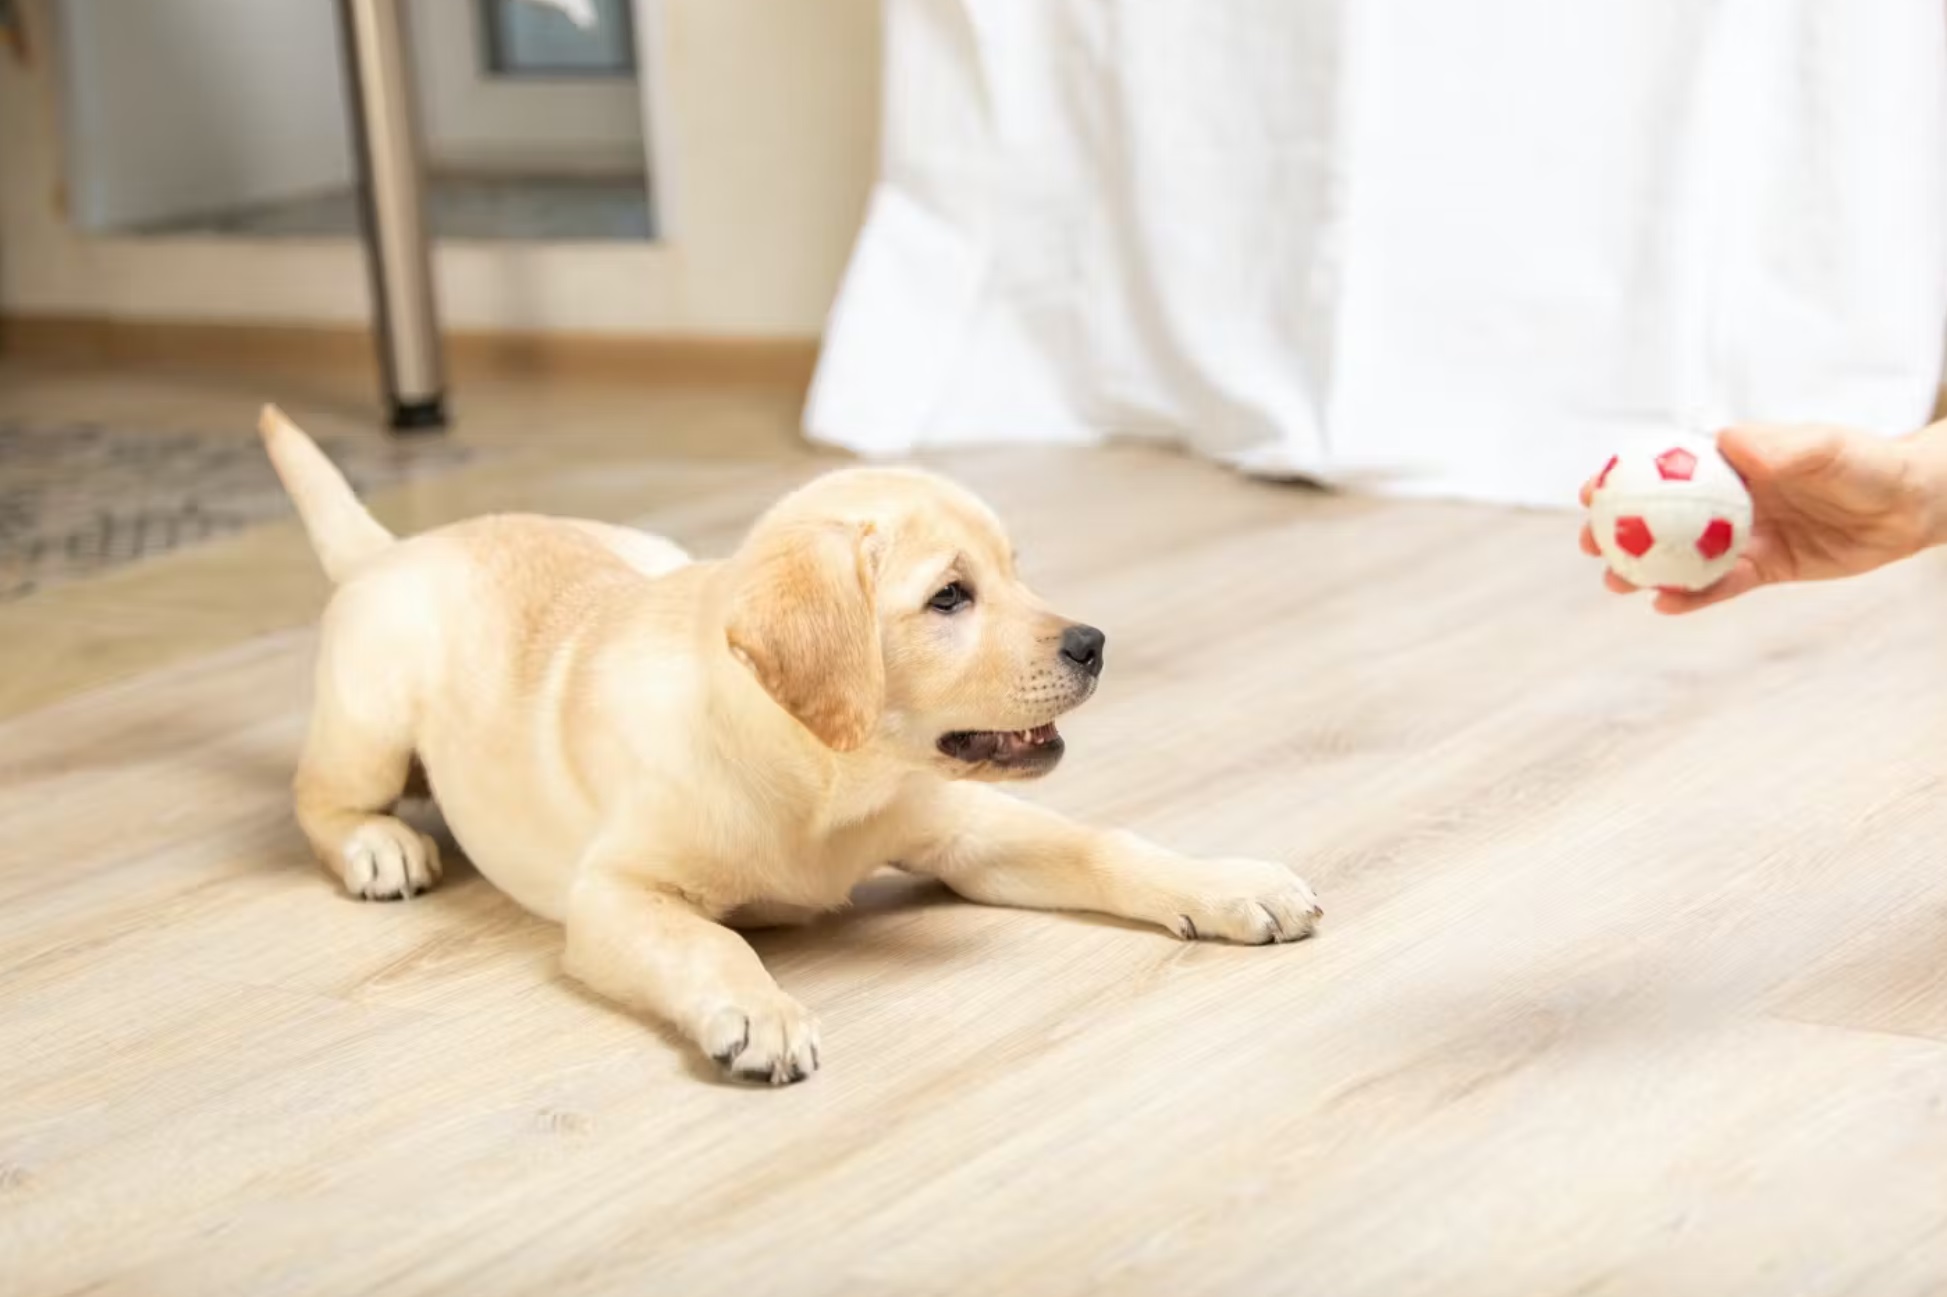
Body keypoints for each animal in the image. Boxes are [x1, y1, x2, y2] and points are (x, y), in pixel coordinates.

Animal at [262, 405, 1323, 1082]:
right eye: (950, 597)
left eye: (1017, 572)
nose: (1094, 644)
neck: (825, 777)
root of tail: (398, 546)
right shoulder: (615, 895)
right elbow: (711, 939)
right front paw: (761, 1011)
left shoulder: (963, 828)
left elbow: (1103, 843)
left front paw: (1225, 883)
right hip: (372, 716)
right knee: (317, 797)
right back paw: (378, 846)